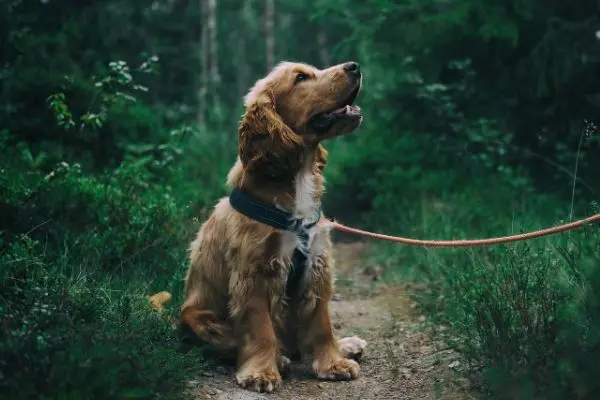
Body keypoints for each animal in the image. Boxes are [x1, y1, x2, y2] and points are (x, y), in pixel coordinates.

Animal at [180, 61, 366, 392]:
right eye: (301, 78)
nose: (354, 65)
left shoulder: (317, 266)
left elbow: (322, 324)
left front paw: (334, 363)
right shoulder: (254, 272)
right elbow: (261, 328)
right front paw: (261, 373)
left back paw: (347, 345)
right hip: (198, 318)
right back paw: (280, 358)